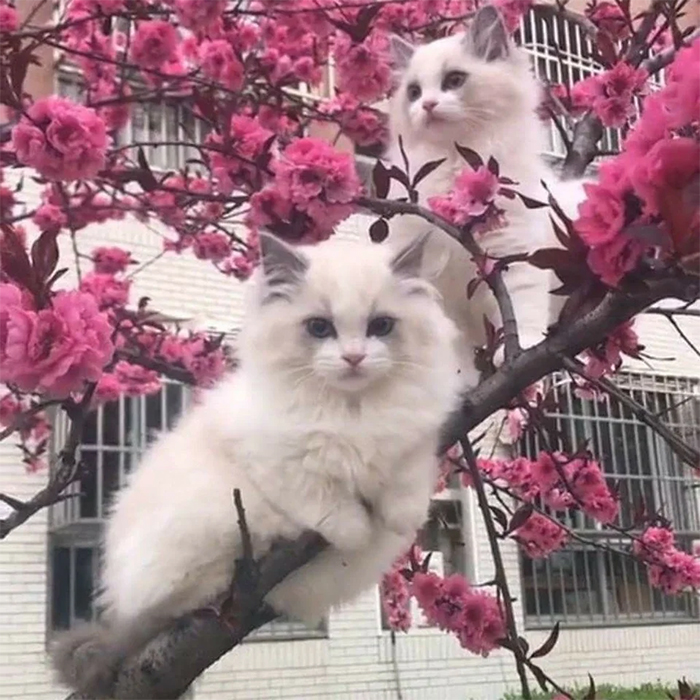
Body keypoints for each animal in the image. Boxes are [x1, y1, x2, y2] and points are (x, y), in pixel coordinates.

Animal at [52, 231, 462, 696]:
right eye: (319, 328)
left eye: (381, 326)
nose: (354, 358)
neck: (353, 409)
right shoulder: (271, 456)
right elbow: (322, 498)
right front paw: (354, 530)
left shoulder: (416, 444)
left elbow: (406, 484)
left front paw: (399, 517)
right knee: (173, 600)